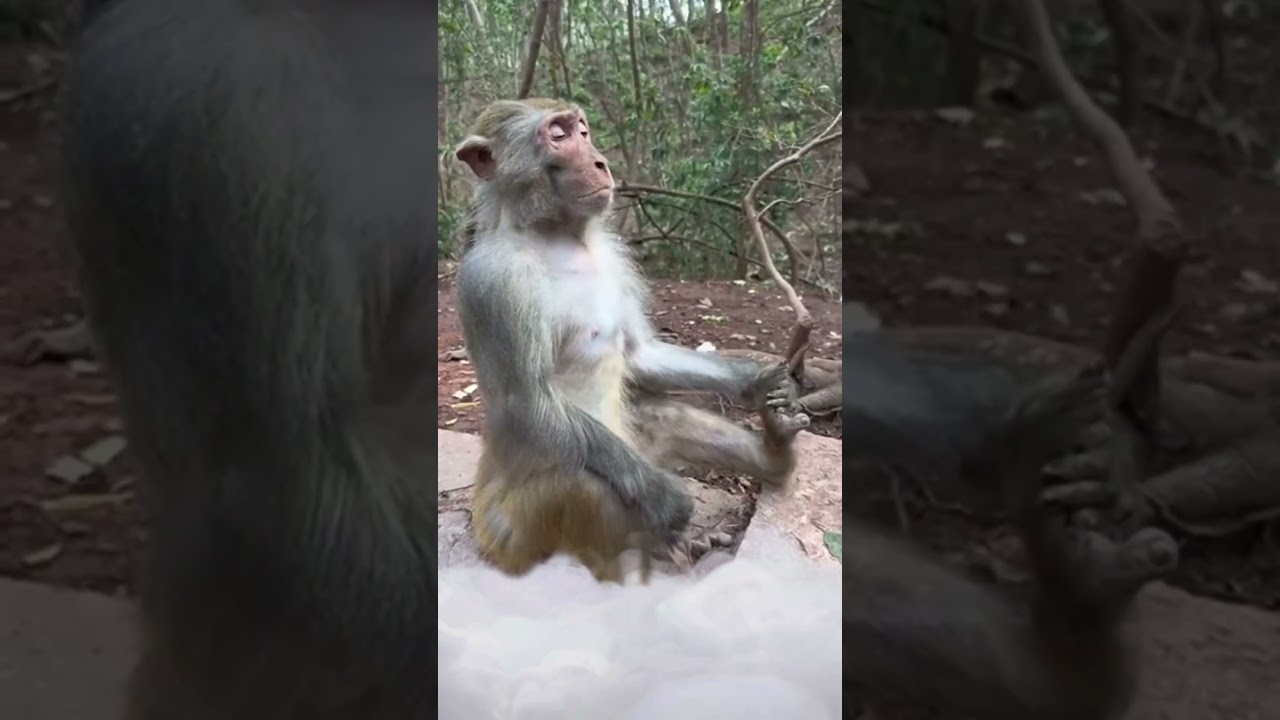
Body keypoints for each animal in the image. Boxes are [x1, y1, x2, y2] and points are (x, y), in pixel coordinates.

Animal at [453, 98, 810, 583]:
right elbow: (528, 401)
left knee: (663, 417)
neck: (554, 235)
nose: (600, 161)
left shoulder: (615, 256)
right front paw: (666, 499)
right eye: (558, 135)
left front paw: (760, 381)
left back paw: (774, 456)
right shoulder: (495, 281)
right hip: (514, 537)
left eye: (582, 130)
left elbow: (641, 355)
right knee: (586, 482)